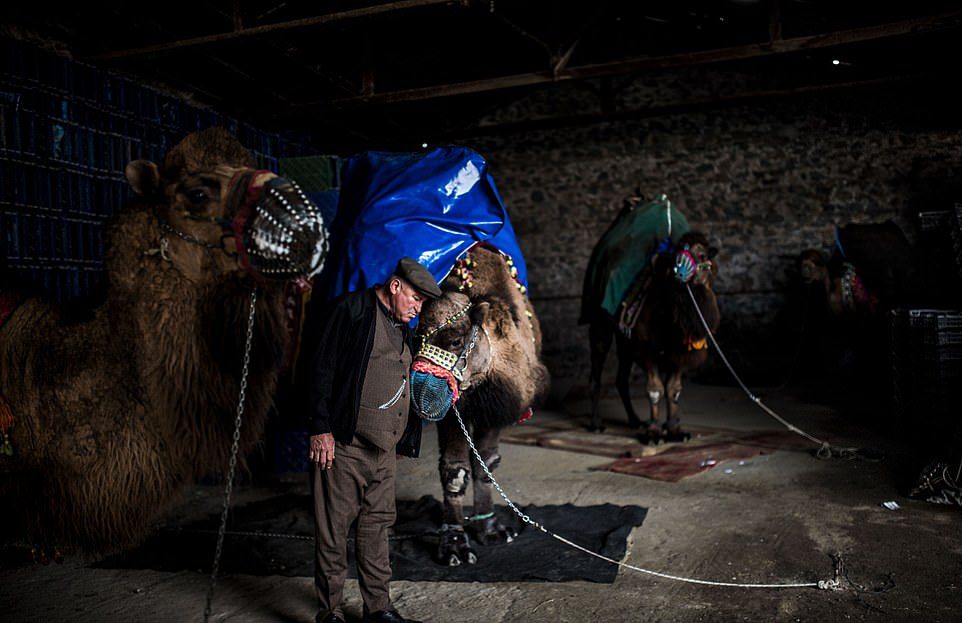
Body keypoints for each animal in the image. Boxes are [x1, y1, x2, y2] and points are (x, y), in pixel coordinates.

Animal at [412, 246, 548, 568]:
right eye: (415, 339)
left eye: (456, 340)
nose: (420, 390)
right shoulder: (453, 409)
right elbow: (454, 470)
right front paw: (454, 546)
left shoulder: (495, 407)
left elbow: (487, 463)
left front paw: (491, 530)